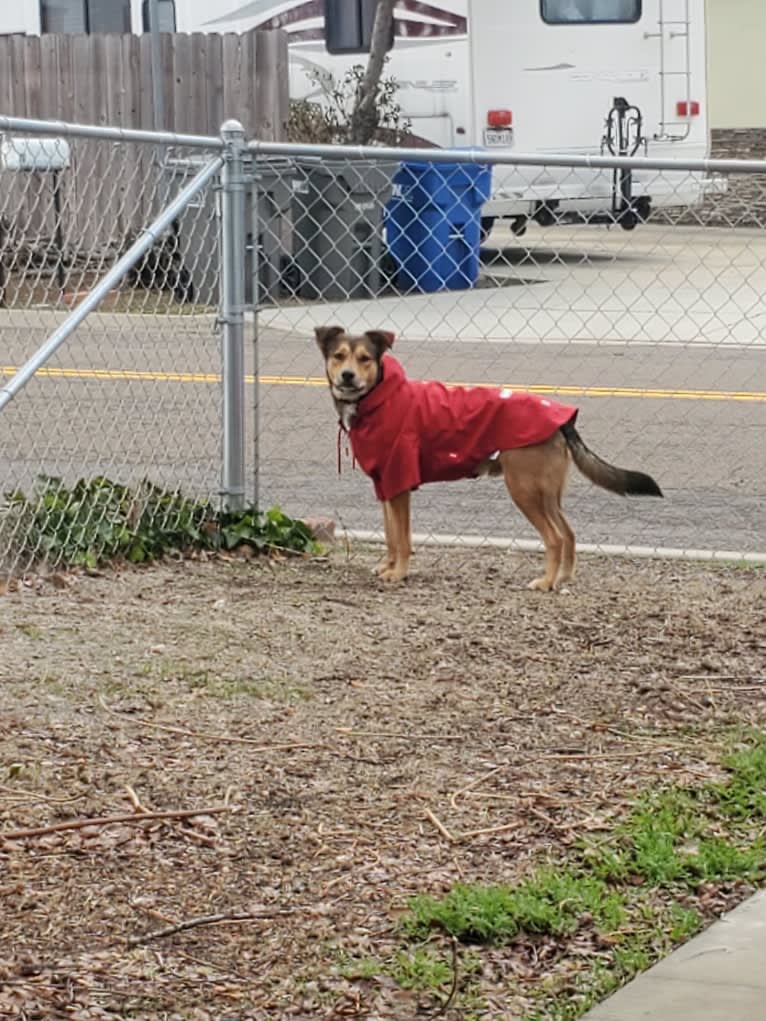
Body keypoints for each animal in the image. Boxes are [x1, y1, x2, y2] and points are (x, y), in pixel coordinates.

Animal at [314, 322, 661, 588]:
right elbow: (389, 534)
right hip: (548, 493)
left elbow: (402, 538)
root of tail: (563, 421)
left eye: (365, 359)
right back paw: (563, 578)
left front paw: (398, 573)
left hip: (523, 489)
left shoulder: (400, 483)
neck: (378, 398)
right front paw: (386, 566)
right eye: (338, 356)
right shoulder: (386, 484)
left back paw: (546, 583)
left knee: (555, 538)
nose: (347, 376)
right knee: (569, 533)